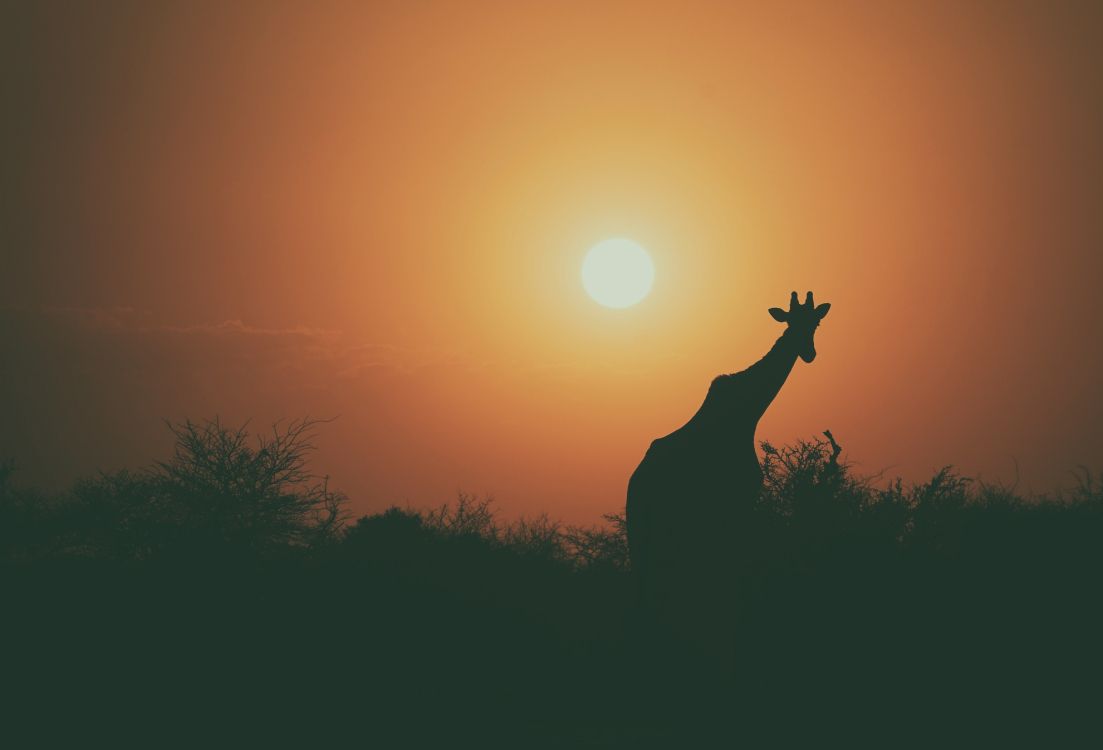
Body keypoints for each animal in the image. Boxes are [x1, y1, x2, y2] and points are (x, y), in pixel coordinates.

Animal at [626, 290, 831, 661]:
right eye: (791, 322)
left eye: (816, 323)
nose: (808, 353)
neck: (748, 413)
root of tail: (637, 485)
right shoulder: (739, 503)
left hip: (645, 530)